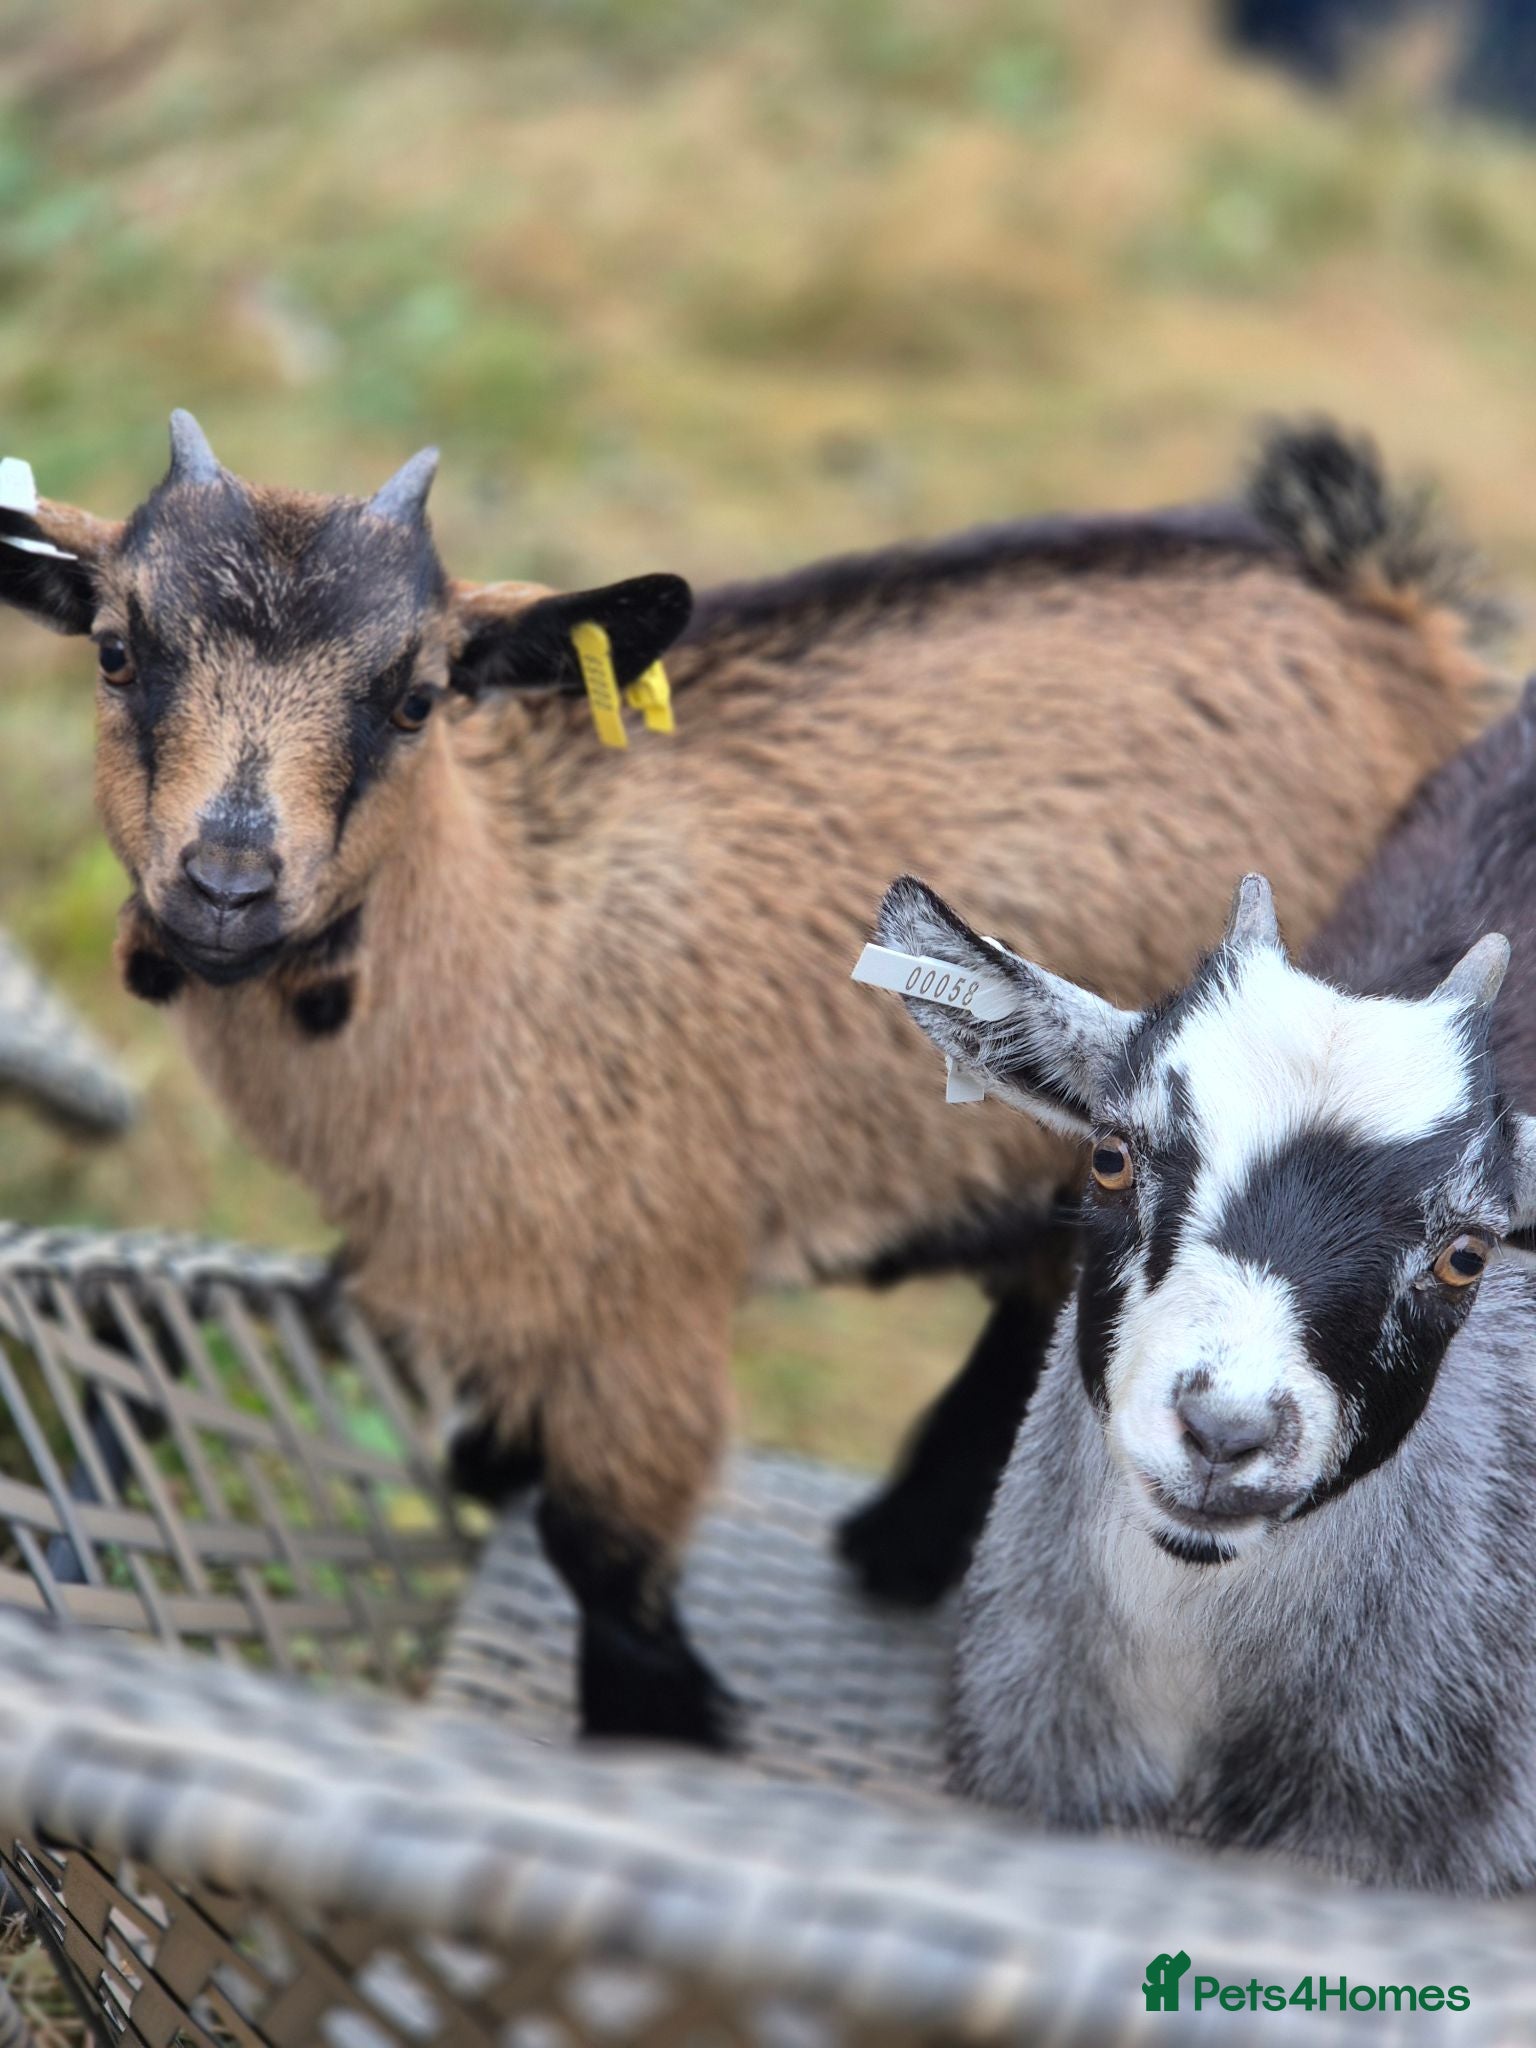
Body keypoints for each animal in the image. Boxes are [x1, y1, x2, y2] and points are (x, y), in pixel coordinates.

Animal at [0, 412, 1497, 1746]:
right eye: (117, 652)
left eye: (417, 697)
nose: (227, 883)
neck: (505, 943)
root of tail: (1382, 600)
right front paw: (496, 1462)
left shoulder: (641, 1284)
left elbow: (600, 1543)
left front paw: (661, 1722)